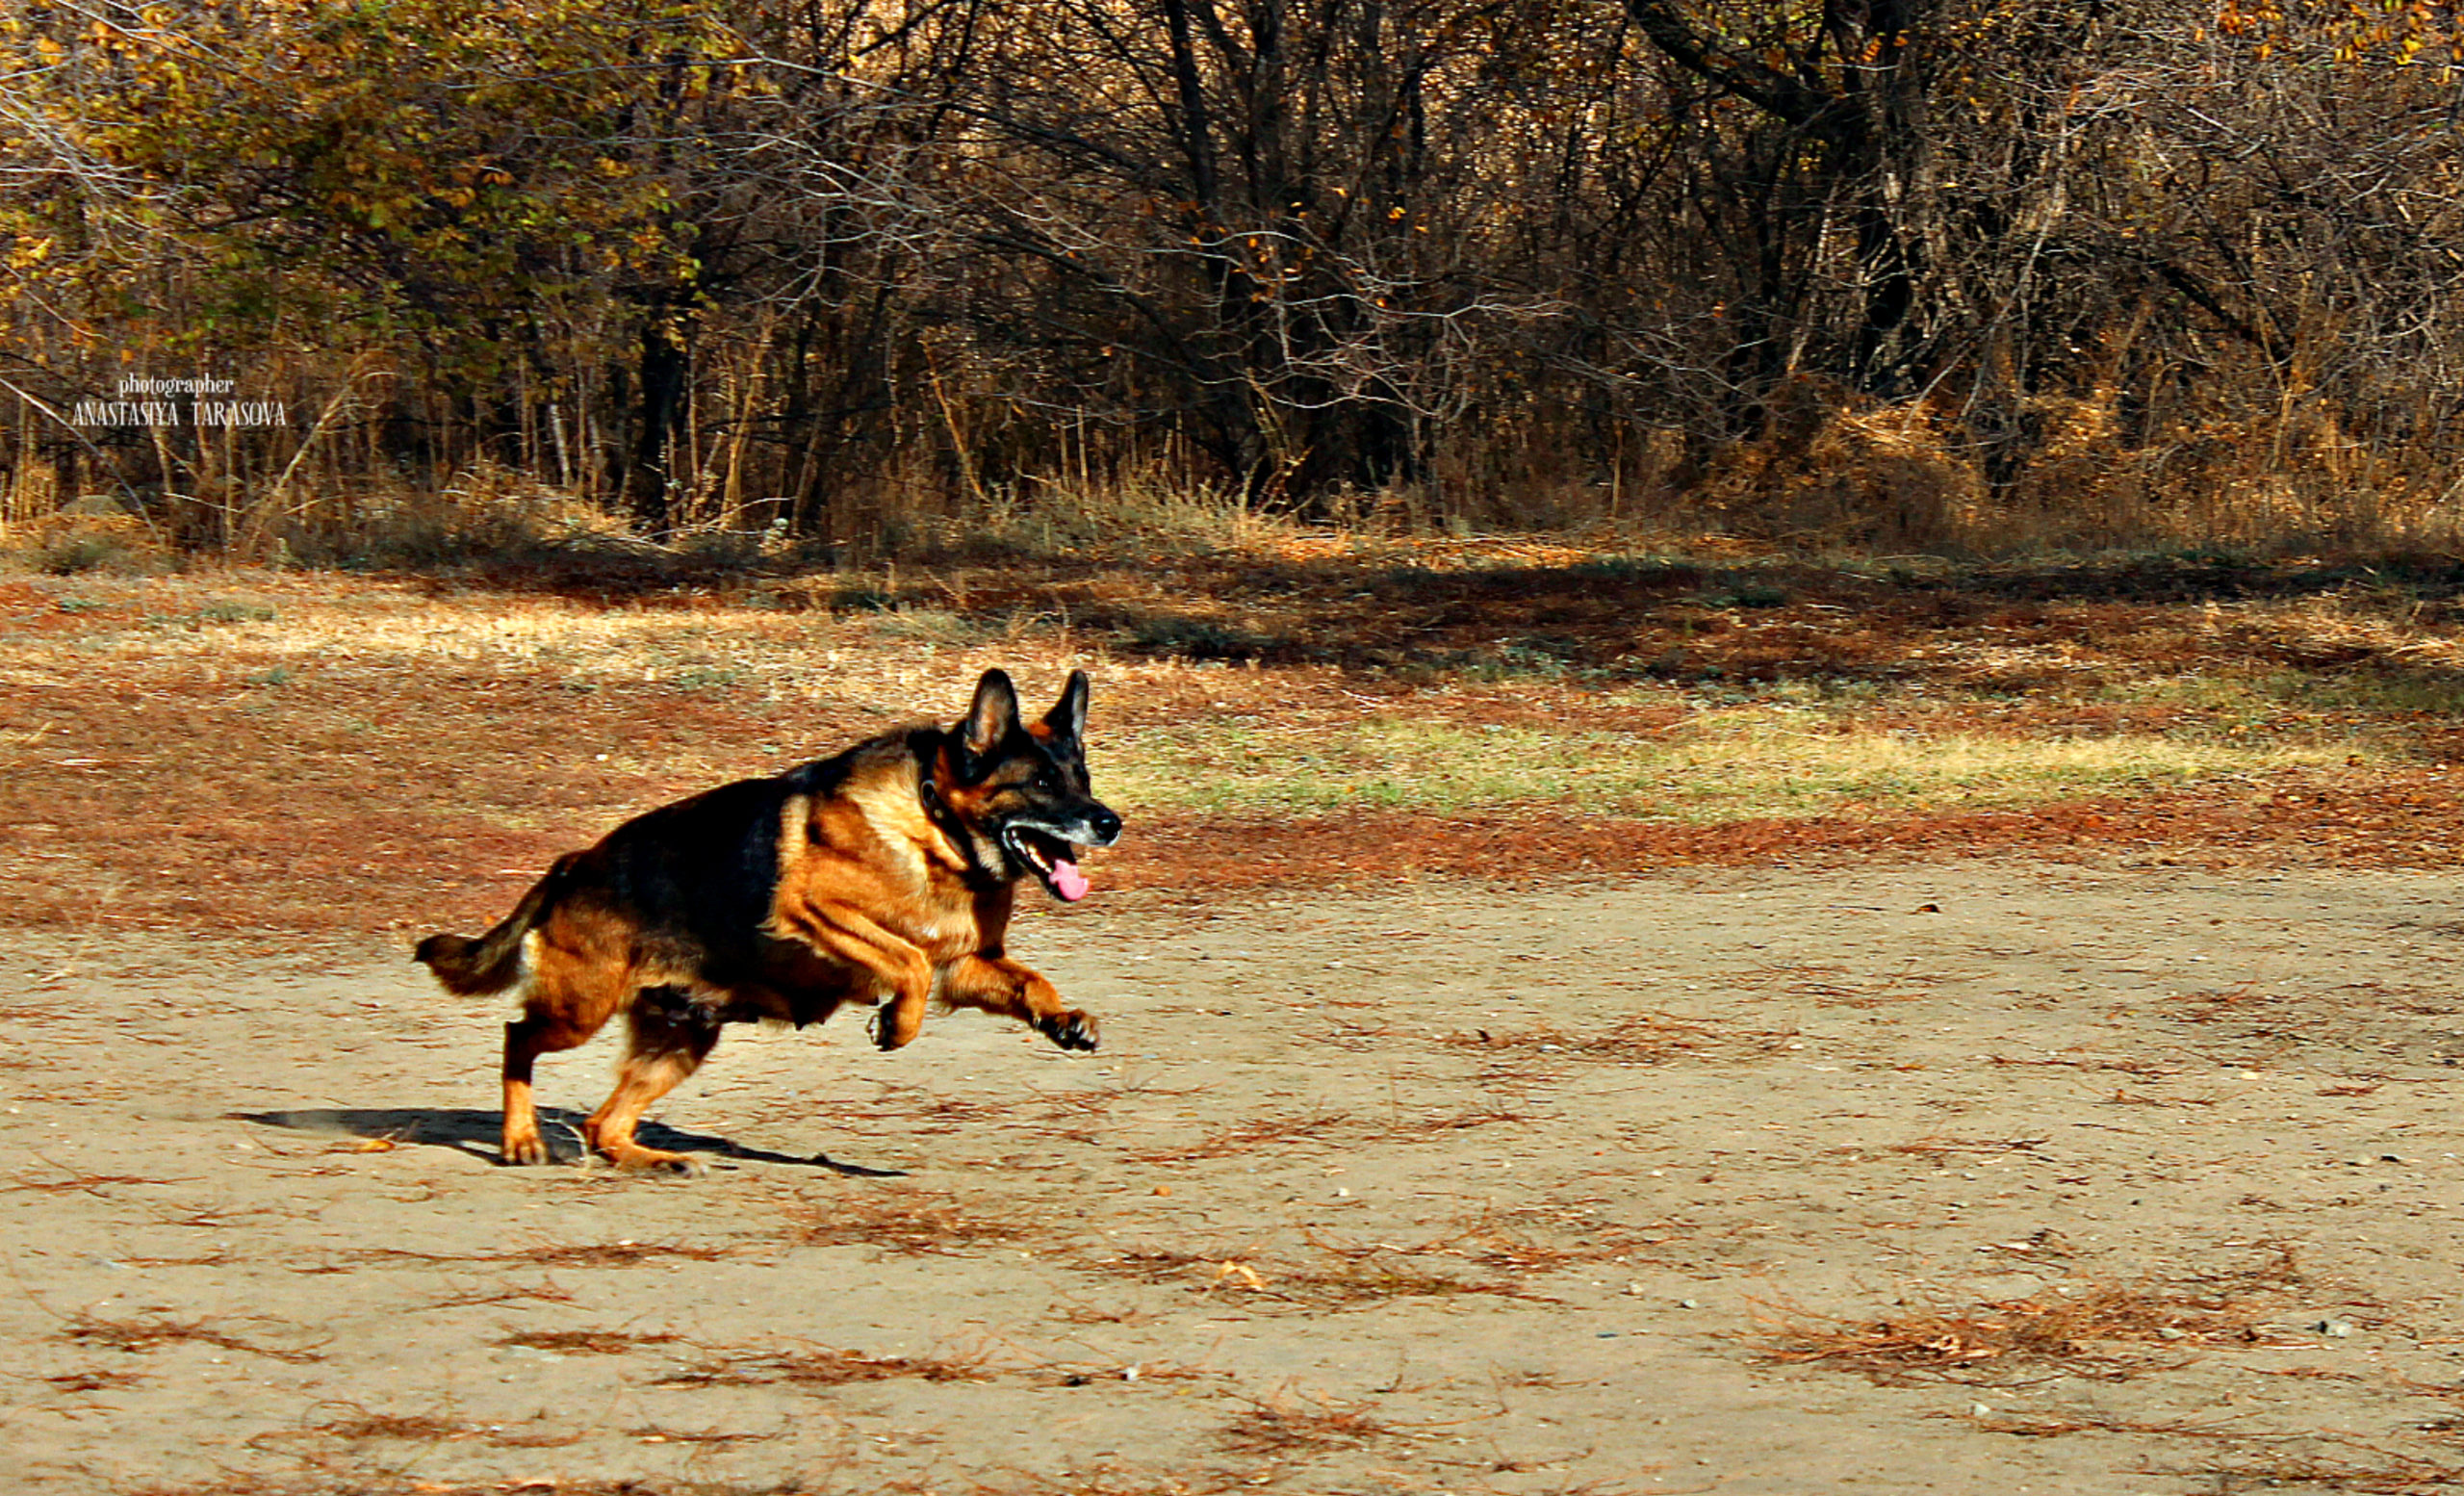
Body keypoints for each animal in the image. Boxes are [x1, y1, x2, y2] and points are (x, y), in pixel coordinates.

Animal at [416, 665, 1128, 1173]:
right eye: (1040, 785)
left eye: (1083, 778)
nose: (1109, 822)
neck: (936, 827)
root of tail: (570, 866)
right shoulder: (816, 911)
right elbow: (908, 964)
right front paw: (894, 1026)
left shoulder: (967, 963)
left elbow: (1026, 980)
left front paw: (1063, 1019)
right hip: (578, 1011)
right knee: (517, 1038)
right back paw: (522, 1140)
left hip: (681, 1040)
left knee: (601, 1124)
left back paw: (652, 1159)